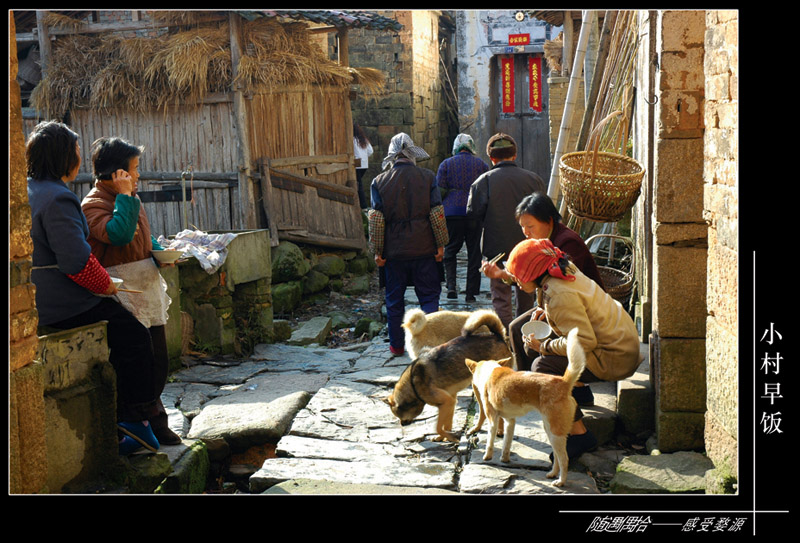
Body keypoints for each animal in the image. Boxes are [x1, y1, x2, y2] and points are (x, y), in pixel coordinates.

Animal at [462, 326, 588, 486]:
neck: (490, 371)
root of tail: (563, 382)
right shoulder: (510, 421)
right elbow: (507, 443)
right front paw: (504, 459)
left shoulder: (493, 420)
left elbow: (490, 441)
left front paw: (487, 456)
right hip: (550, 431)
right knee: (557, 458)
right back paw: (552, 474)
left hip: (555, 433)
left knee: (564, 459)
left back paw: (560, 482)